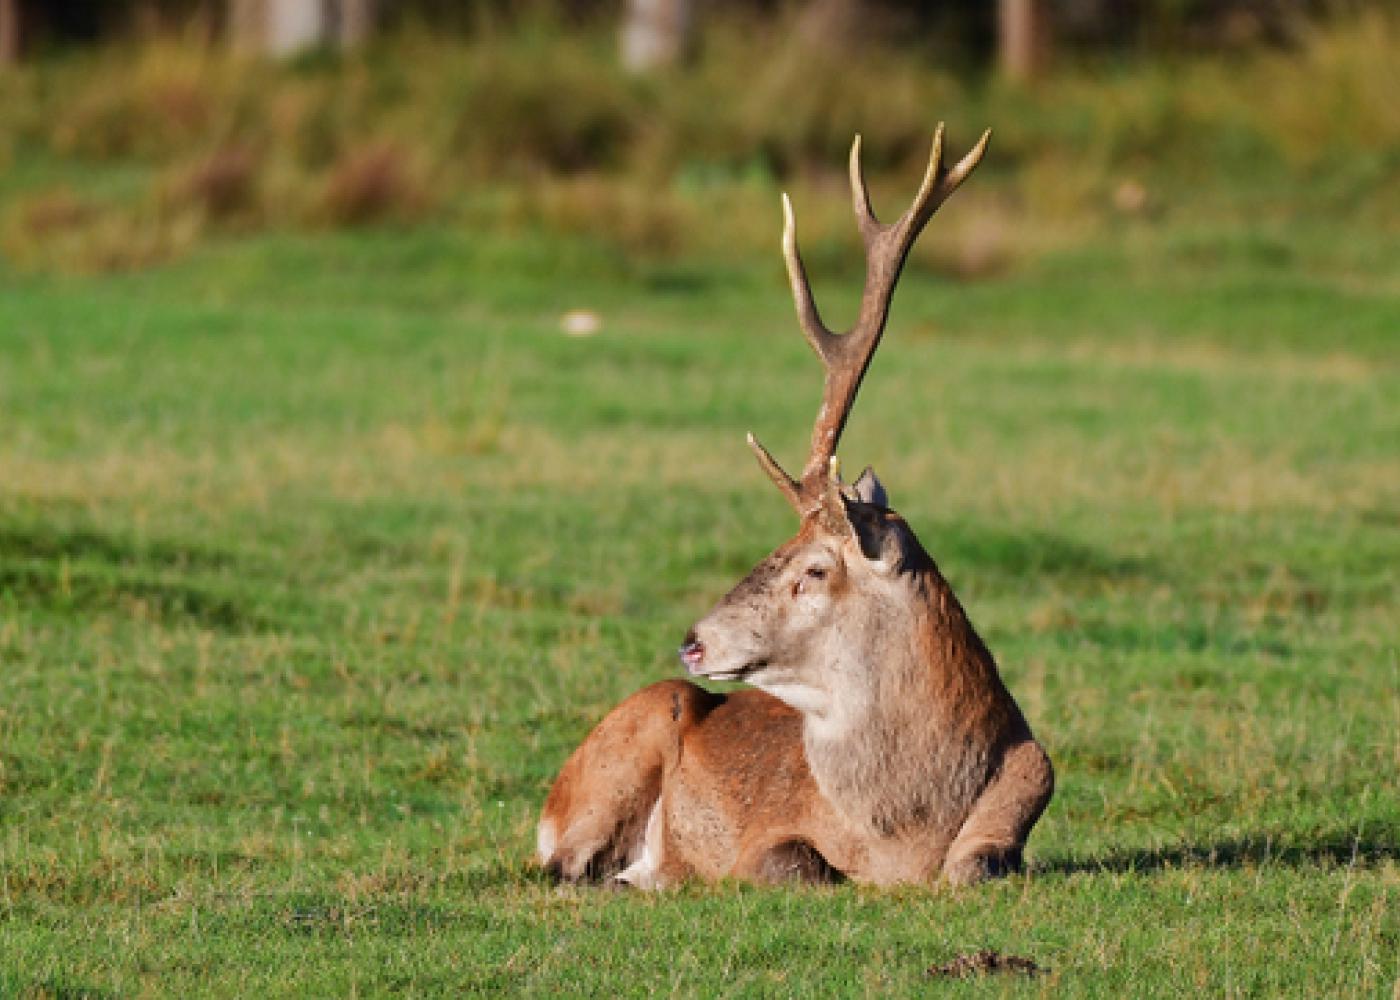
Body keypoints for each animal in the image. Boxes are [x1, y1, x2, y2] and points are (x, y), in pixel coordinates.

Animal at [534, 122, 1052, 879]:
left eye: (814, 568)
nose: (692, 641)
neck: (906, 839)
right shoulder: (769, 839)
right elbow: (794, 861)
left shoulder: (1029, 792)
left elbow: (975, 863)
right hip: (626, 744)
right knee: (559, 867)